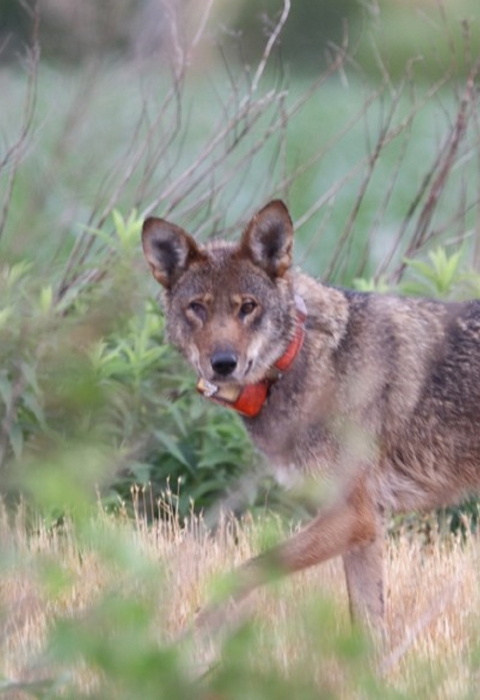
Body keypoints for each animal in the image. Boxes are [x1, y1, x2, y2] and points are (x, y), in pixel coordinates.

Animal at [142, 199, 480, 629]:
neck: (301, 360)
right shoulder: (366, 528)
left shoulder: (355, 517)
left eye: (247, 307)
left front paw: (200, 630)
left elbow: (246, 570)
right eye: (197, 308)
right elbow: (368, 625)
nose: (223, 364)